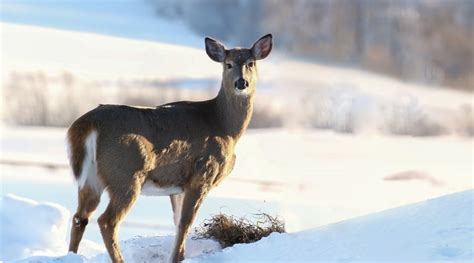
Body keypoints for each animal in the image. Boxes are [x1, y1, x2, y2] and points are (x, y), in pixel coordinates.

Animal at [67, 34, 274, 262]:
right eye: (228, 64)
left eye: (251, 63)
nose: (241, 82)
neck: (224, 126)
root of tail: (88, 123)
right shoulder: (202, 174)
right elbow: (185, 223)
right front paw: (177, 258)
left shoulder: (177, 186)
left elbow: (176, 223)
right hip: (126, 174)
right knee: (107, 221)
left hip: (91, 178)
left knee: (80, 217)